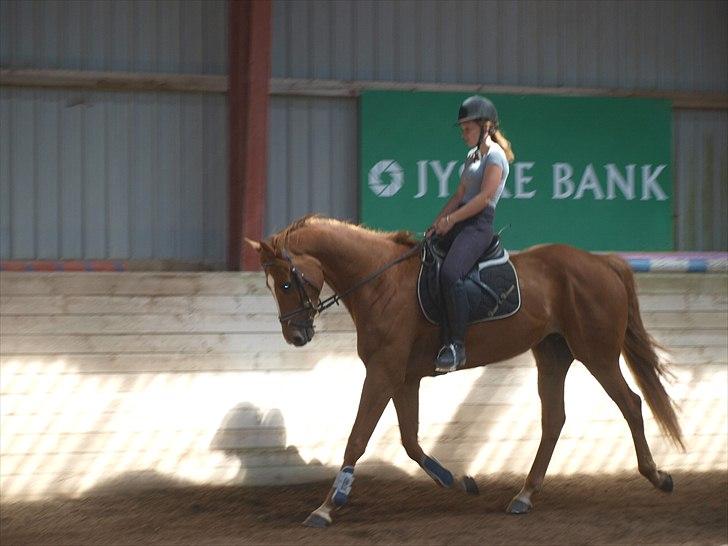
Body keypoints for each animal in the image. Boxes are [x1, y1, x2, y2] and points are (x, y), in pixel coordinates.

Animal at [247, 215, 680, 524]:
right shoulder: (403, 378)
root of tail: (603, 262)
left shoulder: (383, 373)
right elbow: (410, 441)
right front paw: (458, 481)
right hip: (553, 354)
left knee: (631, 404)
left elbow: (358, 438)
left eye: (285, 284)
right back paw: (524, 496)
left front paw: (326, 506)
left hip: (598, 353)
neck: (382, 284)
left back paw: (658, 477)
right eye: (271, 286)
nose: (296, 336)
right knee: (554, 419)